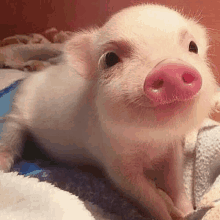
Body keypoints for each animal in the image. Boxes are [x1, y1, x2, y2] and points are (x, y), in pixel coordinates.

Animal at [0, 3, 217, 220]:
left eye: (193, 47)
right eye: (110, 58)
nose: (170, 67)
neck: (152, 142)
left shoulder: (173, 149)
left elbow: (175, 182)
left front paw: (189, 211)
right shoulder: (114, 163)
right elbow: (148, 196)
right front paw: (167, 213)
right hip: (18, 110)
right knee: (11, 132)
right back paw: (4, 166)